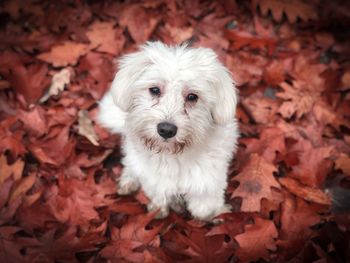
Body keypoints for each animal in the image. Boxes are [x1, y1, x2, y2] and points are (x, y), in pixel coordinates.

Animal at [99, 42, 241, 221]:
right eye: (154, 90)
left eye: (192, 97)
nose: (166, 130)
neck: (172, 155)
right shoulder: (154, 179)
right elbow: (158, 192)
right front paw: (160, 208)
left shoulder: (208, 181)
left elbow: (203, 208)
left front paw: (214, 215)